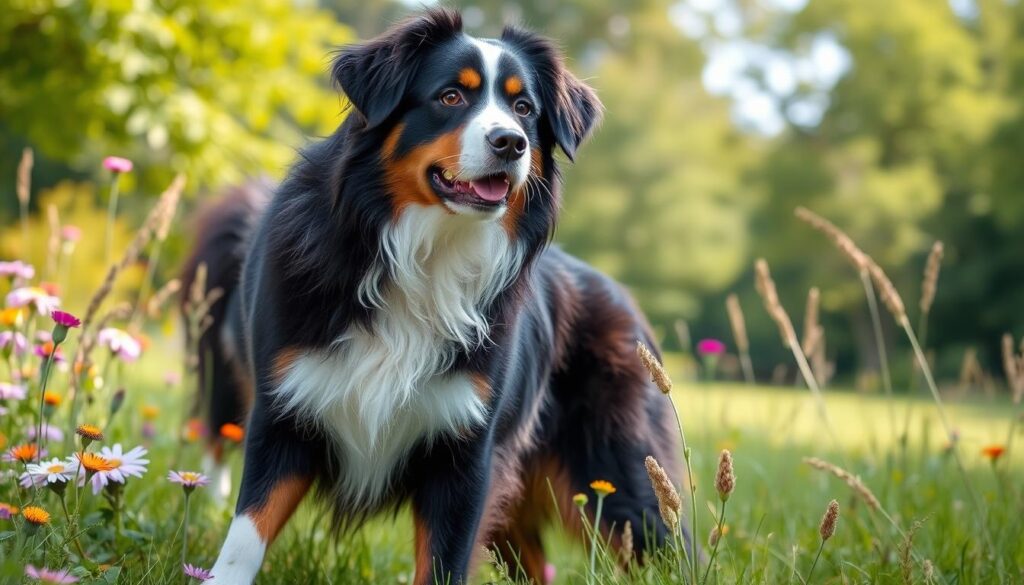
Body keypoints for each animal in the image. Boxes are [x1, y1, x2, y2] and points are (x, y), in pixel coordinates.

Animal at [182, 10, 679, 585]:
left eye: (524, 108)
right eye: (450, 96)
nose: (511, 143)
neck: (426, 255)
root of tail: (628, 304)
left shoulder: (466, 454)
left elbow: (444, 562)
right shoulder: (283, 411)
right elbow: (244, 538)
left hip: (624, 485)